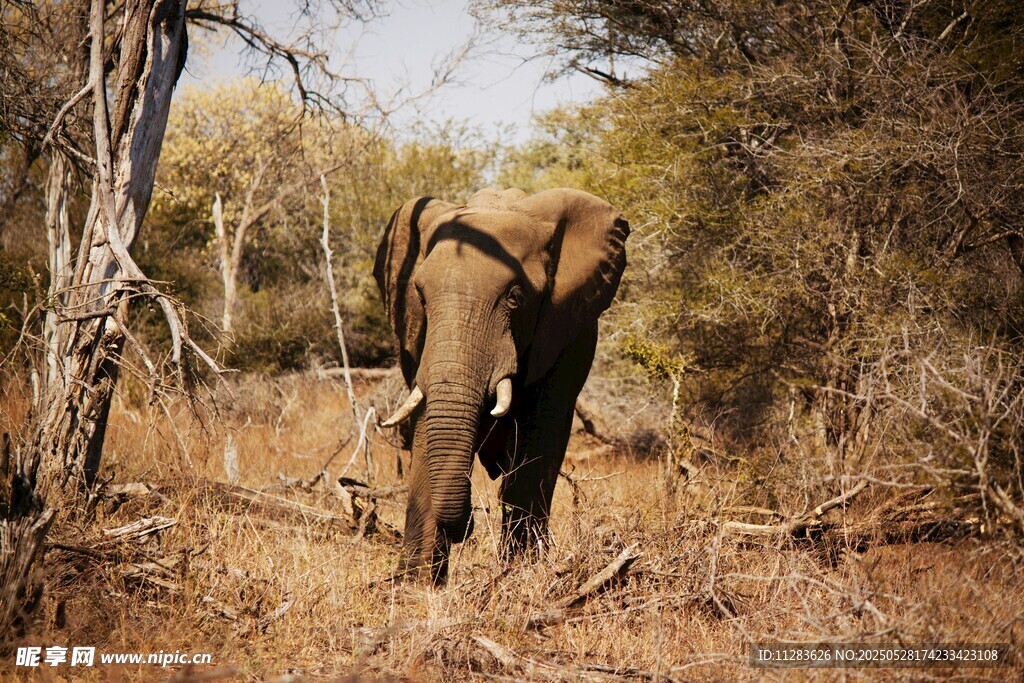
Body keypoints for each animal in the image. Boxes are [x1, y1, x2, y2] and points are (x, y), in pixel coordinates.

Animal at [373, 186, 629, 584]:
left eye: (515, 297)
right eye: (421, 296)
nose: (467, 527)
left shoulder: (565, 336)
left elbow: (540, 434)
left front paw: (521, 572)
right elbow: (427, 424)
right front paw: (415, 585)